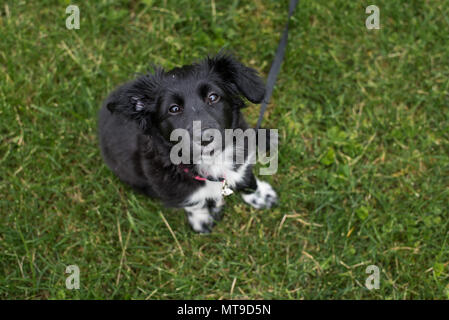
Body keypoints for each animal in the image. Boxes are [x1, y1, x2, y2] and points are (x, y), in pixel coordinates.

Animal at [98, 55, 276, 232]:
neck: (212, 162)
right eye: (174, 109)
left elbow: (246, 178)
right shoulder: (175, 189)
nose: (205, 138)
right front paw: (203, 220)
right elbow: (195, 203)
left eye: (213, 97)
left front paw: (260, 196)